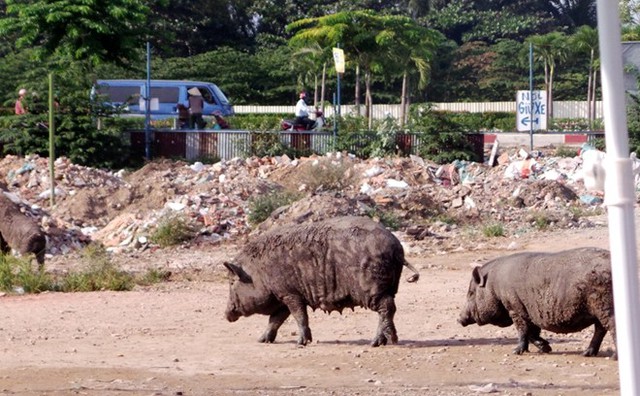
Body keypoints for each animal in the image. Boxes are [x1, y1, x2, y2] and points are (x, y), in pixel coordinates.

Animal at [224, 217, 420, 346]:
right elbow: (276, 319)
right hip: (389, 287)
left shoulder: (290, 294)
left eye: (232, 282)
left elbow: (299, 315)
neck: (258, 272)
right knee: (388, 308)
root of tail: (397, 248)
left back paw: (380, 342)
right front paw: (261, 340)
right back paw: (385, 341)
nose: (226, 314)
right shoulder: (284, 296)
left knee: (387, 307)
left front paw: (301, 343)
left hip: (372, 289)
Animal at [458, 246, 616, 358]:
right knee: (600, 330)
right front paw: (546, 348)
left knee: (610, 327)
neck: (493, 287)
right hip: (598, 311)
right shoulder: (530, 311)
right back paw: (586, 354)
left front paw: (515, 352)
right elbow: (532, 331)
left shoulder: (515, 308)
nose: (459, 318)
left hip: (604, 307)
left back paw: (613, 357)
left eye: (471, 293)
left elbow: (522, 330)